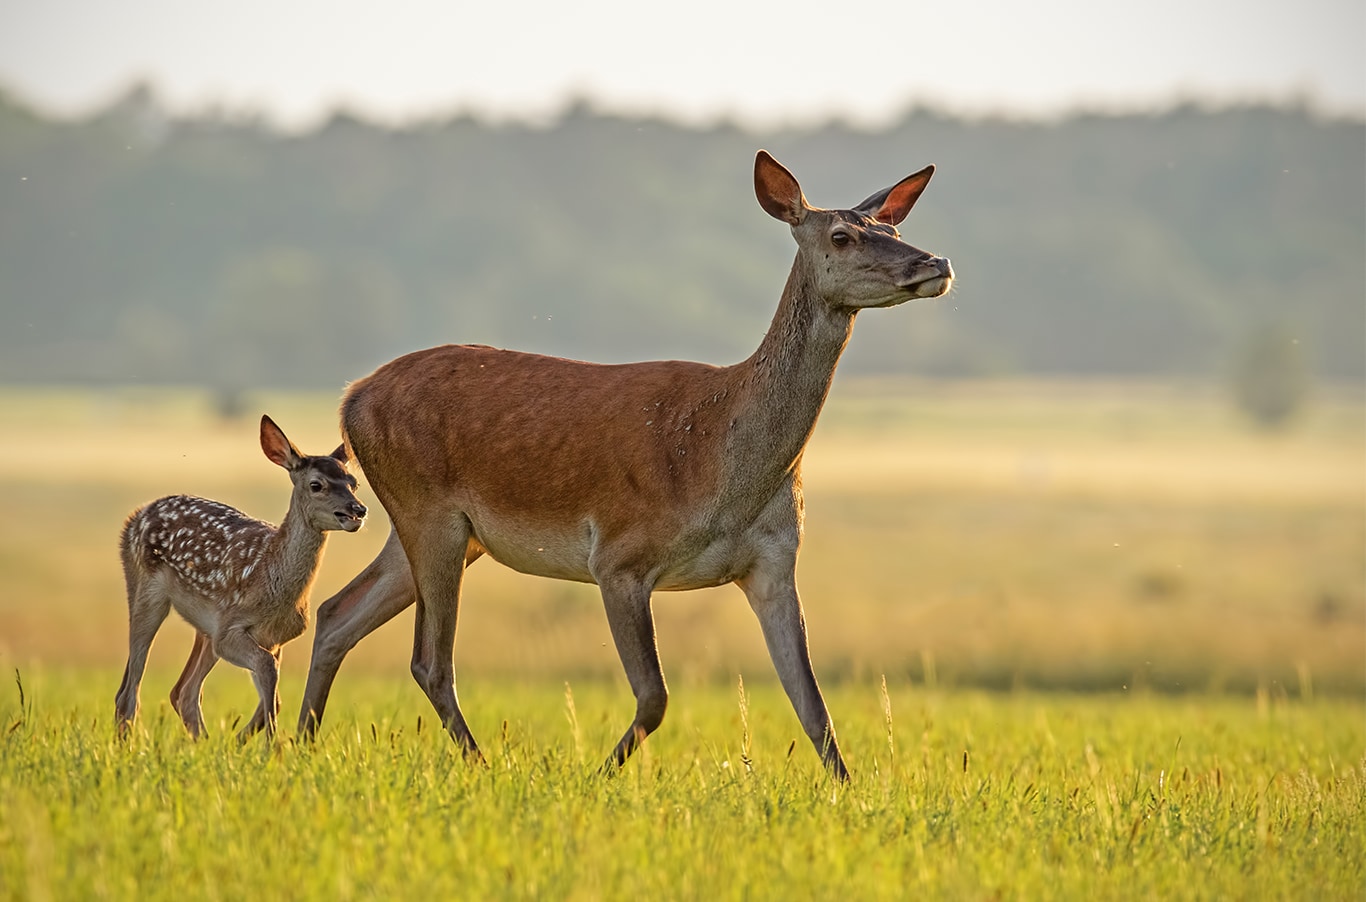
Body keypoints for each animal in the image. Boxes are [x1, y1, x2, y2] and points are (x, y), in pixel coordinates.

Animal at [115, 414, 368, 740]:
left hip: (204, 627)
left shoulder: (274, 639)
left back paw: (205, 744)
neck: (274, 584)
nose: (357, 510)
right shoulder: (231, 628)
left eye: (354, 483)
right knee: (130, 691)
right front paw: (269, 747)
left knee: (183, 691)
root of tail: (136, 516)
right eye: (316, 484)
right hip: (148, 590)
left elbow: (274, 692)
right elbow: (268, 671)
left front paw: (242, 742)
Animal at [296, 150, 953, 780]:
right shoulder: (618, 556)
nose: (936, 263)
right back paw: (479, 766)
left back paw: (294, 744)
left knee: (335, 615)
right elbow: (655, 697)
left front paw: (851, 794)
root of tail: (351, 400)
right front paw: (597, 778)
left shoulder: (774, 563)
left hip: (443, 531)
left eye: (893, 226)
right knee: (430, 660)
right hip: (429, 511)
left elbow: (814, 708)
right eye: (842, 235)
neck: (724, 466)